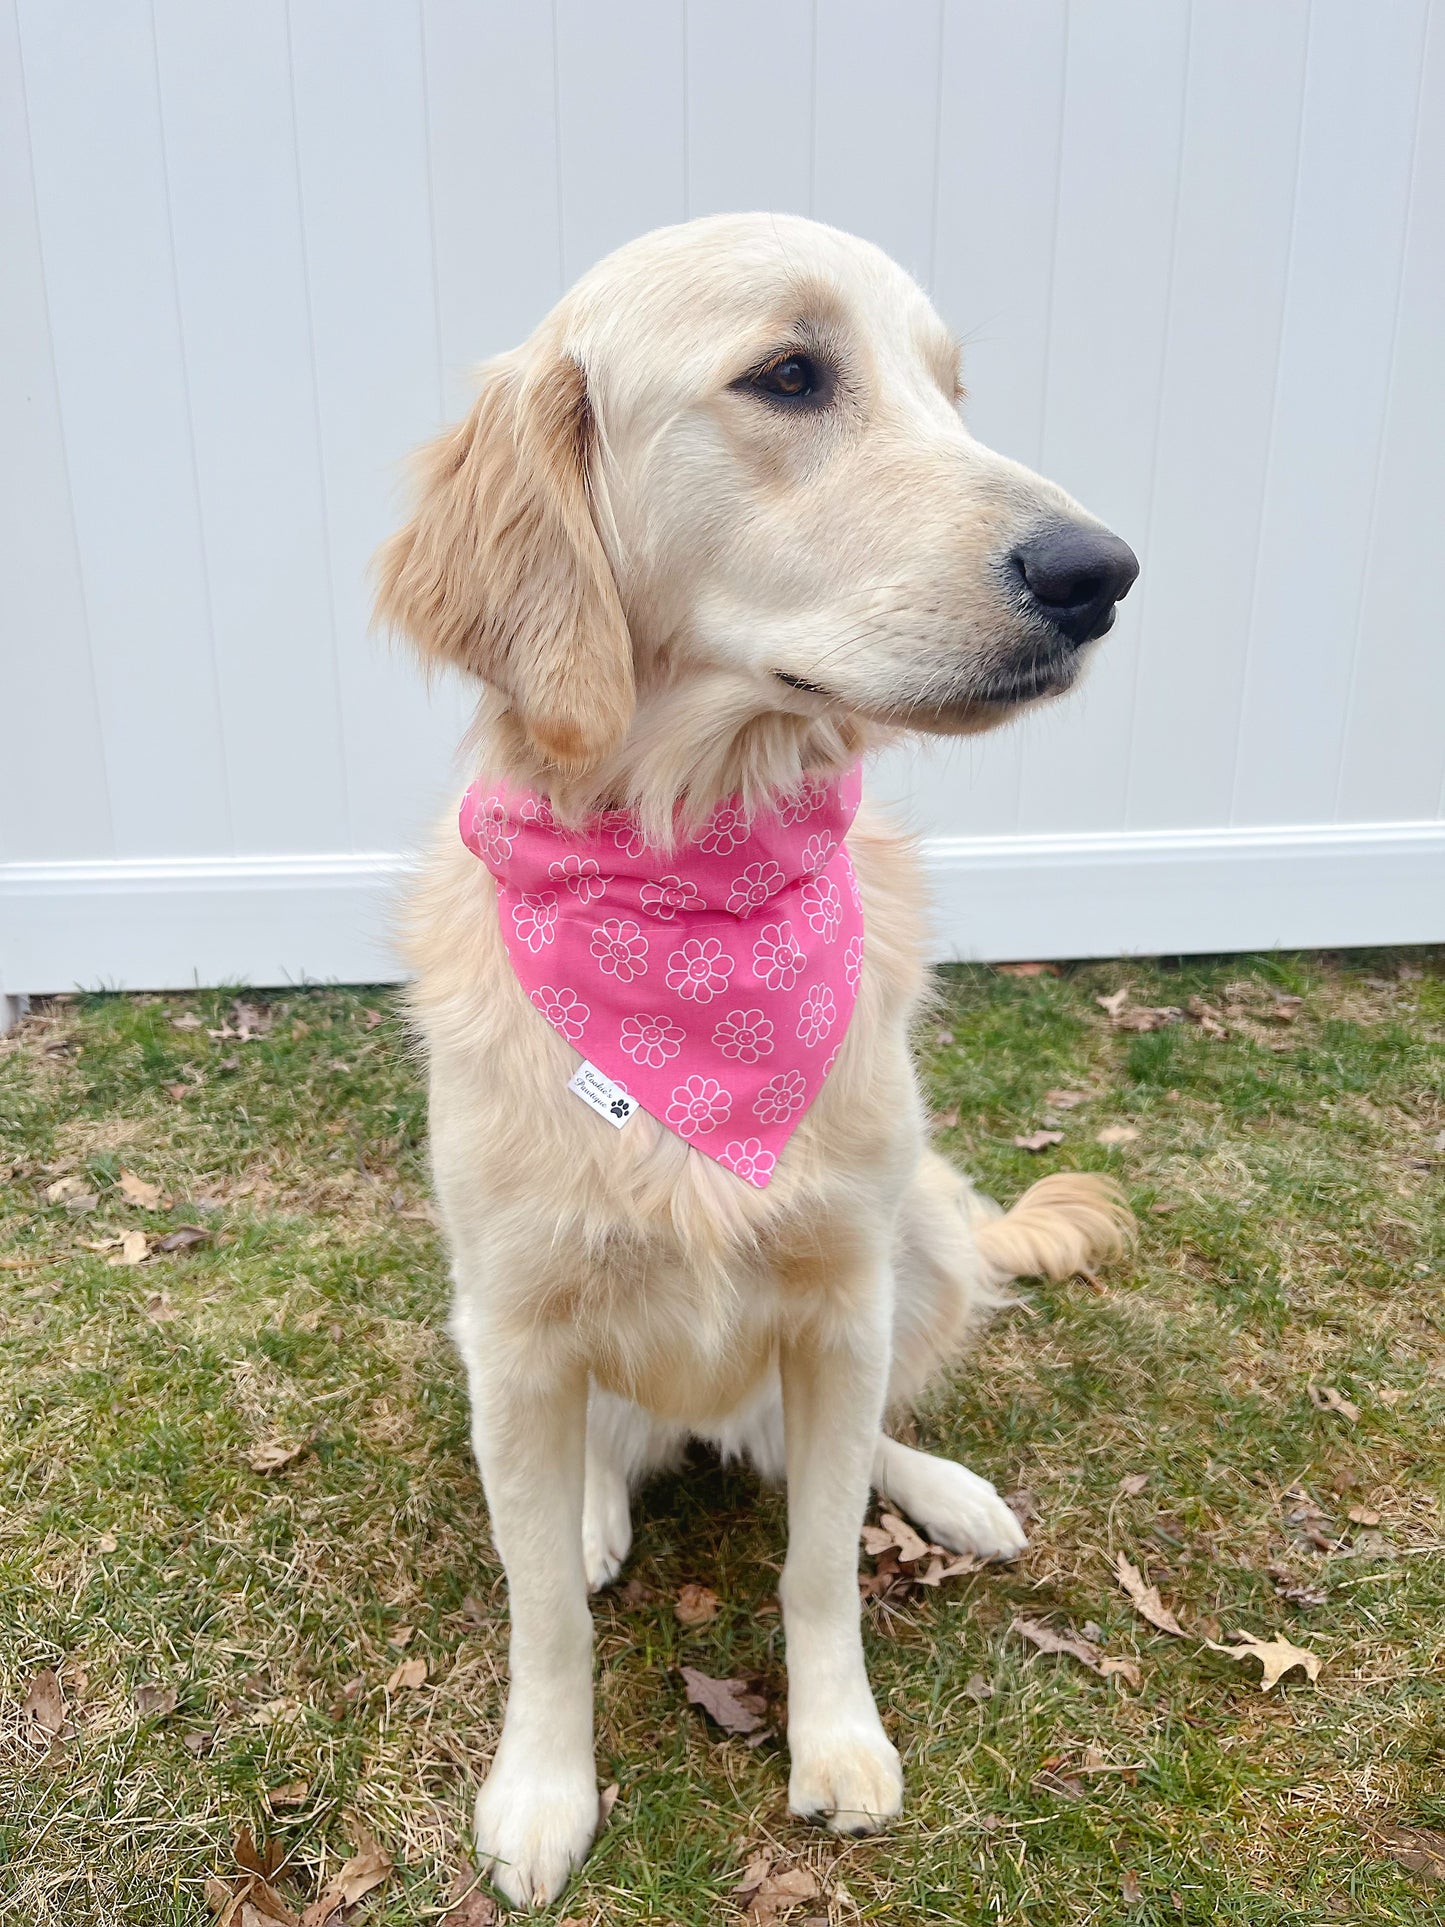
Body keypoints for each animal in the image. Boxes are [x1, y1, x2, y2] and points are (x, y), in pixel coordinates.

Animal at [375, 218, 1140, 1903]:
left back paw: (944, 1489)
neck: (687, 884)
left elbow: (817, 1563)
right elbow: (541, 1608)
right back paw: (599, 1507)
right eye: (789, 375)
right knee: (599, 1474)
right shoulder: (514, 1319)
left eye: (946, 390)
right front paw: (542, 1787)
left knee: (836, 1447)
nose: (1103, 573)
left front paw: (836, 1738)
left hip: (923, 1235)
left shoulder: (841, 1298)